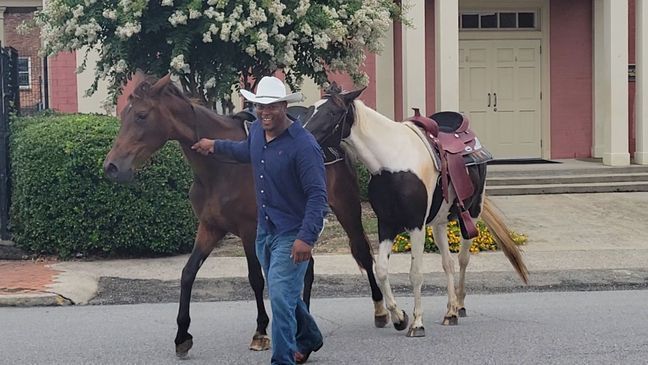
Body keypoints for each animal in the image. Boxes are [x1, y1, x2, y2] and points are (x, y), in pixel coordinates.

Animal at [104, 75, 388, 356]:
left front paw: (261, 332)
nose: (112, 167)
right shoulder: (209, 227)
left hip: (346, 207)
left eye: (141, 115)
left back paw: (381, 310)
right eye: (124, 114)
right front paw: (182, 335)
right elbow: (188, 272)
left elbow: (256, 279)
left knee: (362, 252)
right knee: (306, 269)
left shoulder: (250, 231)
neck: (219, 170)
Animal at [302, 87, 528, 336]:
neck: (391, 162)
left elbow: (416, 273)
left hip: (472, 212)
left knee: (462, 259)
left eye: (332, 112)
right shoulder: (386, 224)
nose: (303, 135)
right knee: (447, 262)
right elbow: (381, 270)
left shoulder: (416, 225)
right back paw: (449, 312)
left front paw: (417, 322)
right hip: (439, 223)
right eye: (311, 109)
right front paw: (399, 317)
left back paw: (459, 305)